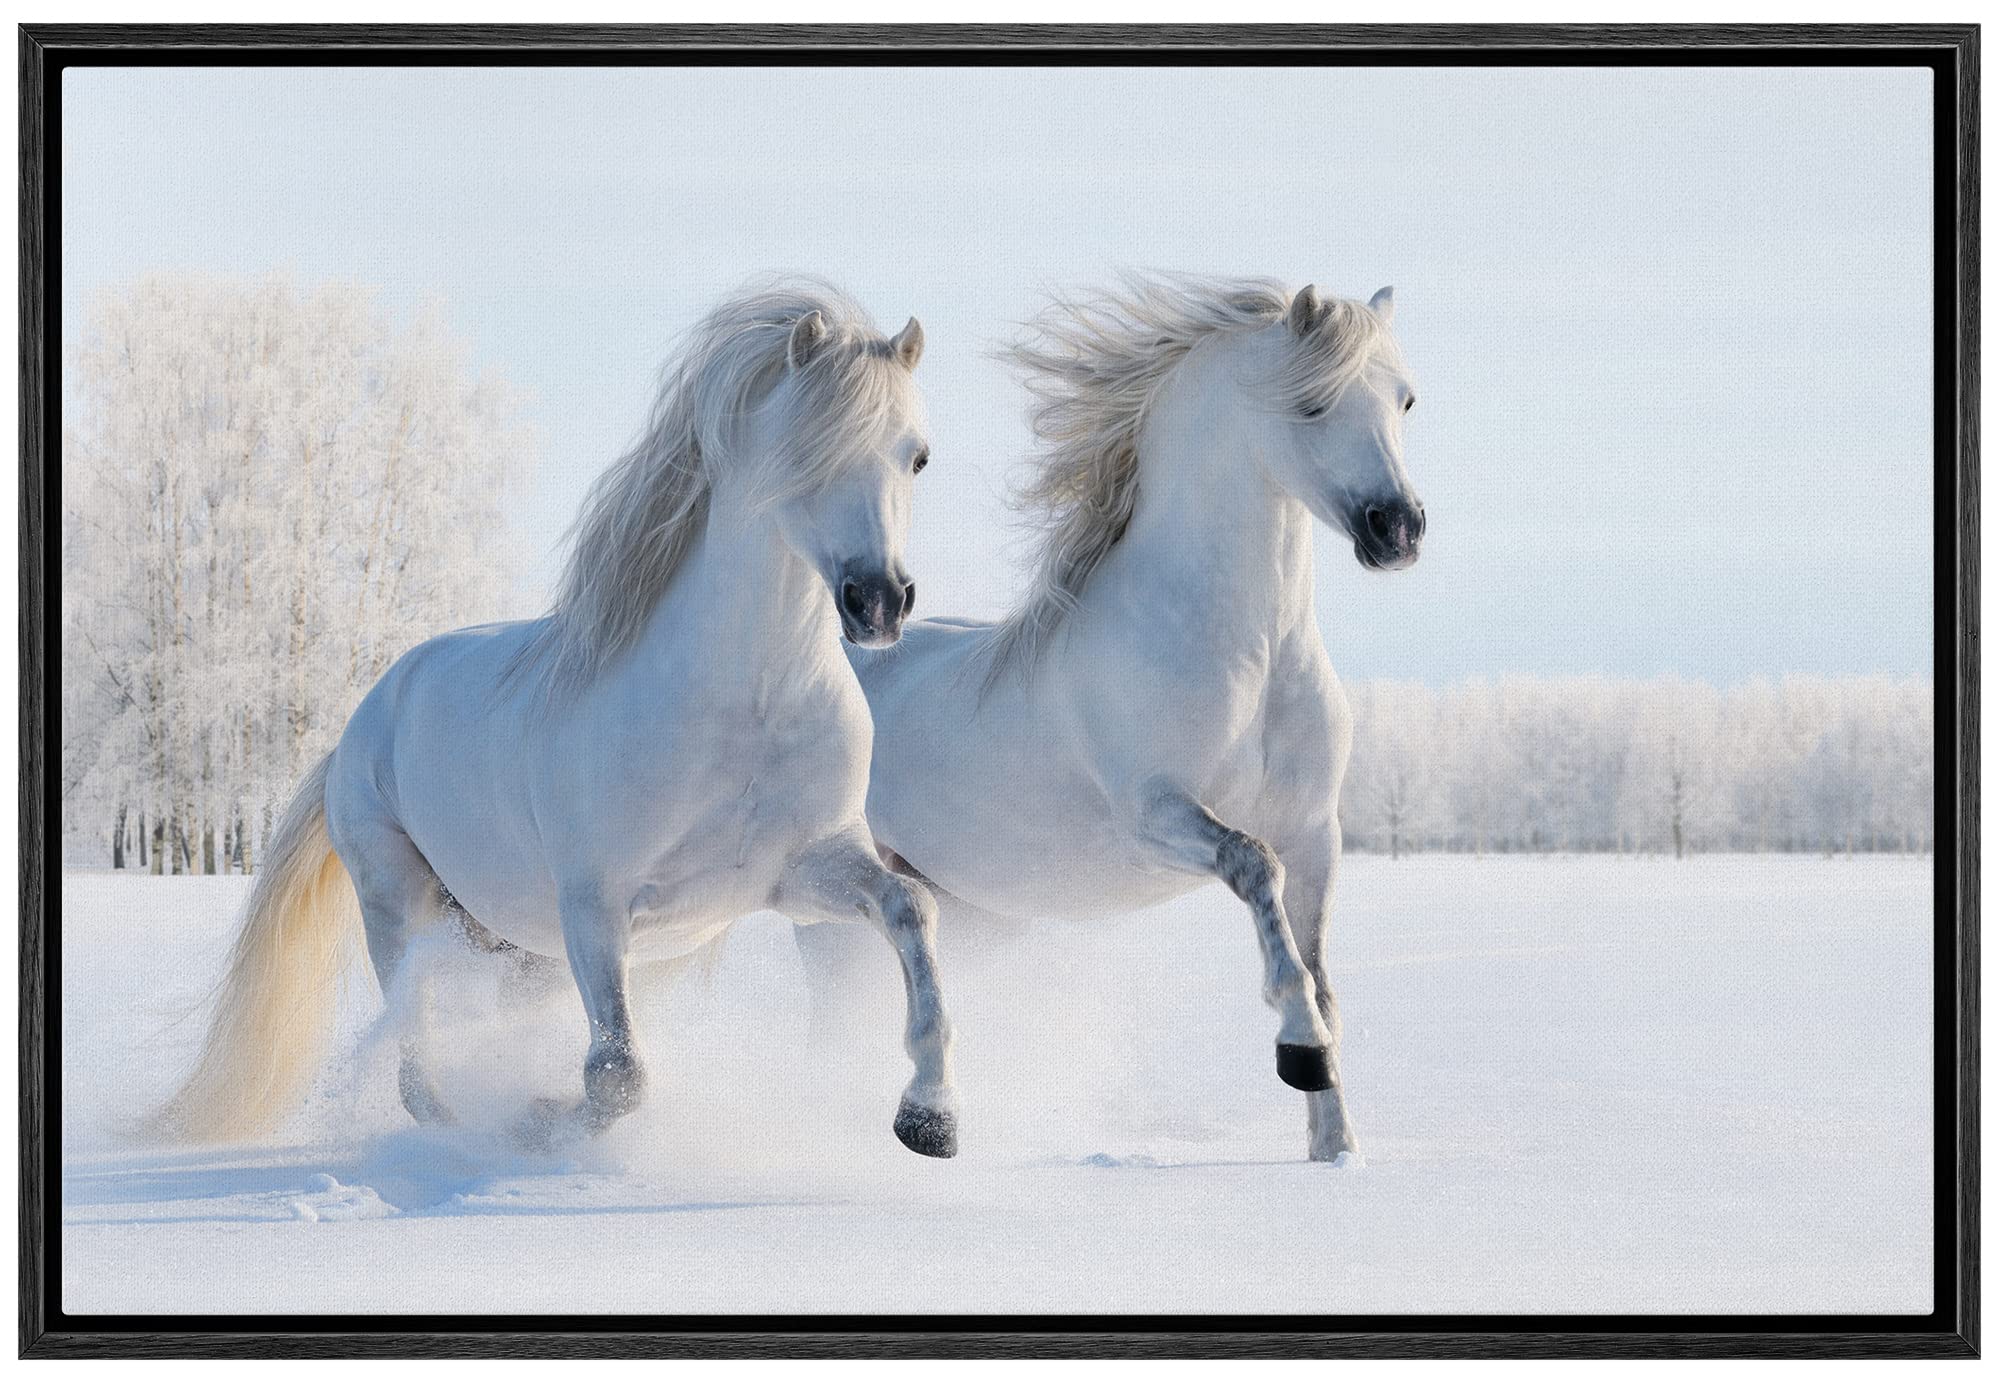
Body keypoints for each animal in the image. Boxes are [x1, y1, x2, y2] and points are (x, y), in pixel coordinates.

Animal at [157, 281, 963, 1158]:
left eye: (918, 456)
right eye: (806, 450)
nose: (878, 602)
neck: (744, 709)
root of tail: (363, 719)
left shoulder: (802, 874)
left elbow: (911, 909)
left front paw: (930, 1117)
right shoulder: (594, 908)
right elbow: (617, 1075)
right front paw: (536, 1123)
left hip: (518, 948)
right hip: (398, 903)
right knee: (414, 1056)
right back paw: (458, 1131)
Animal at [801, 276, 1424, 1163]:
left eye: (1405, 399)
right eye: (1311, 403)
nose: (1397, 529)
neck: (1252, 655)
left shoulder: (1317, 835)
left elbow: (1322, 972)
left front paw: (1334, 1147)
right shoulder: (1156, 816)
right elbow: (1254, 869)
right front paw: (1300, 1053)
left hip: (968, 910)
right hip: (827, 906)